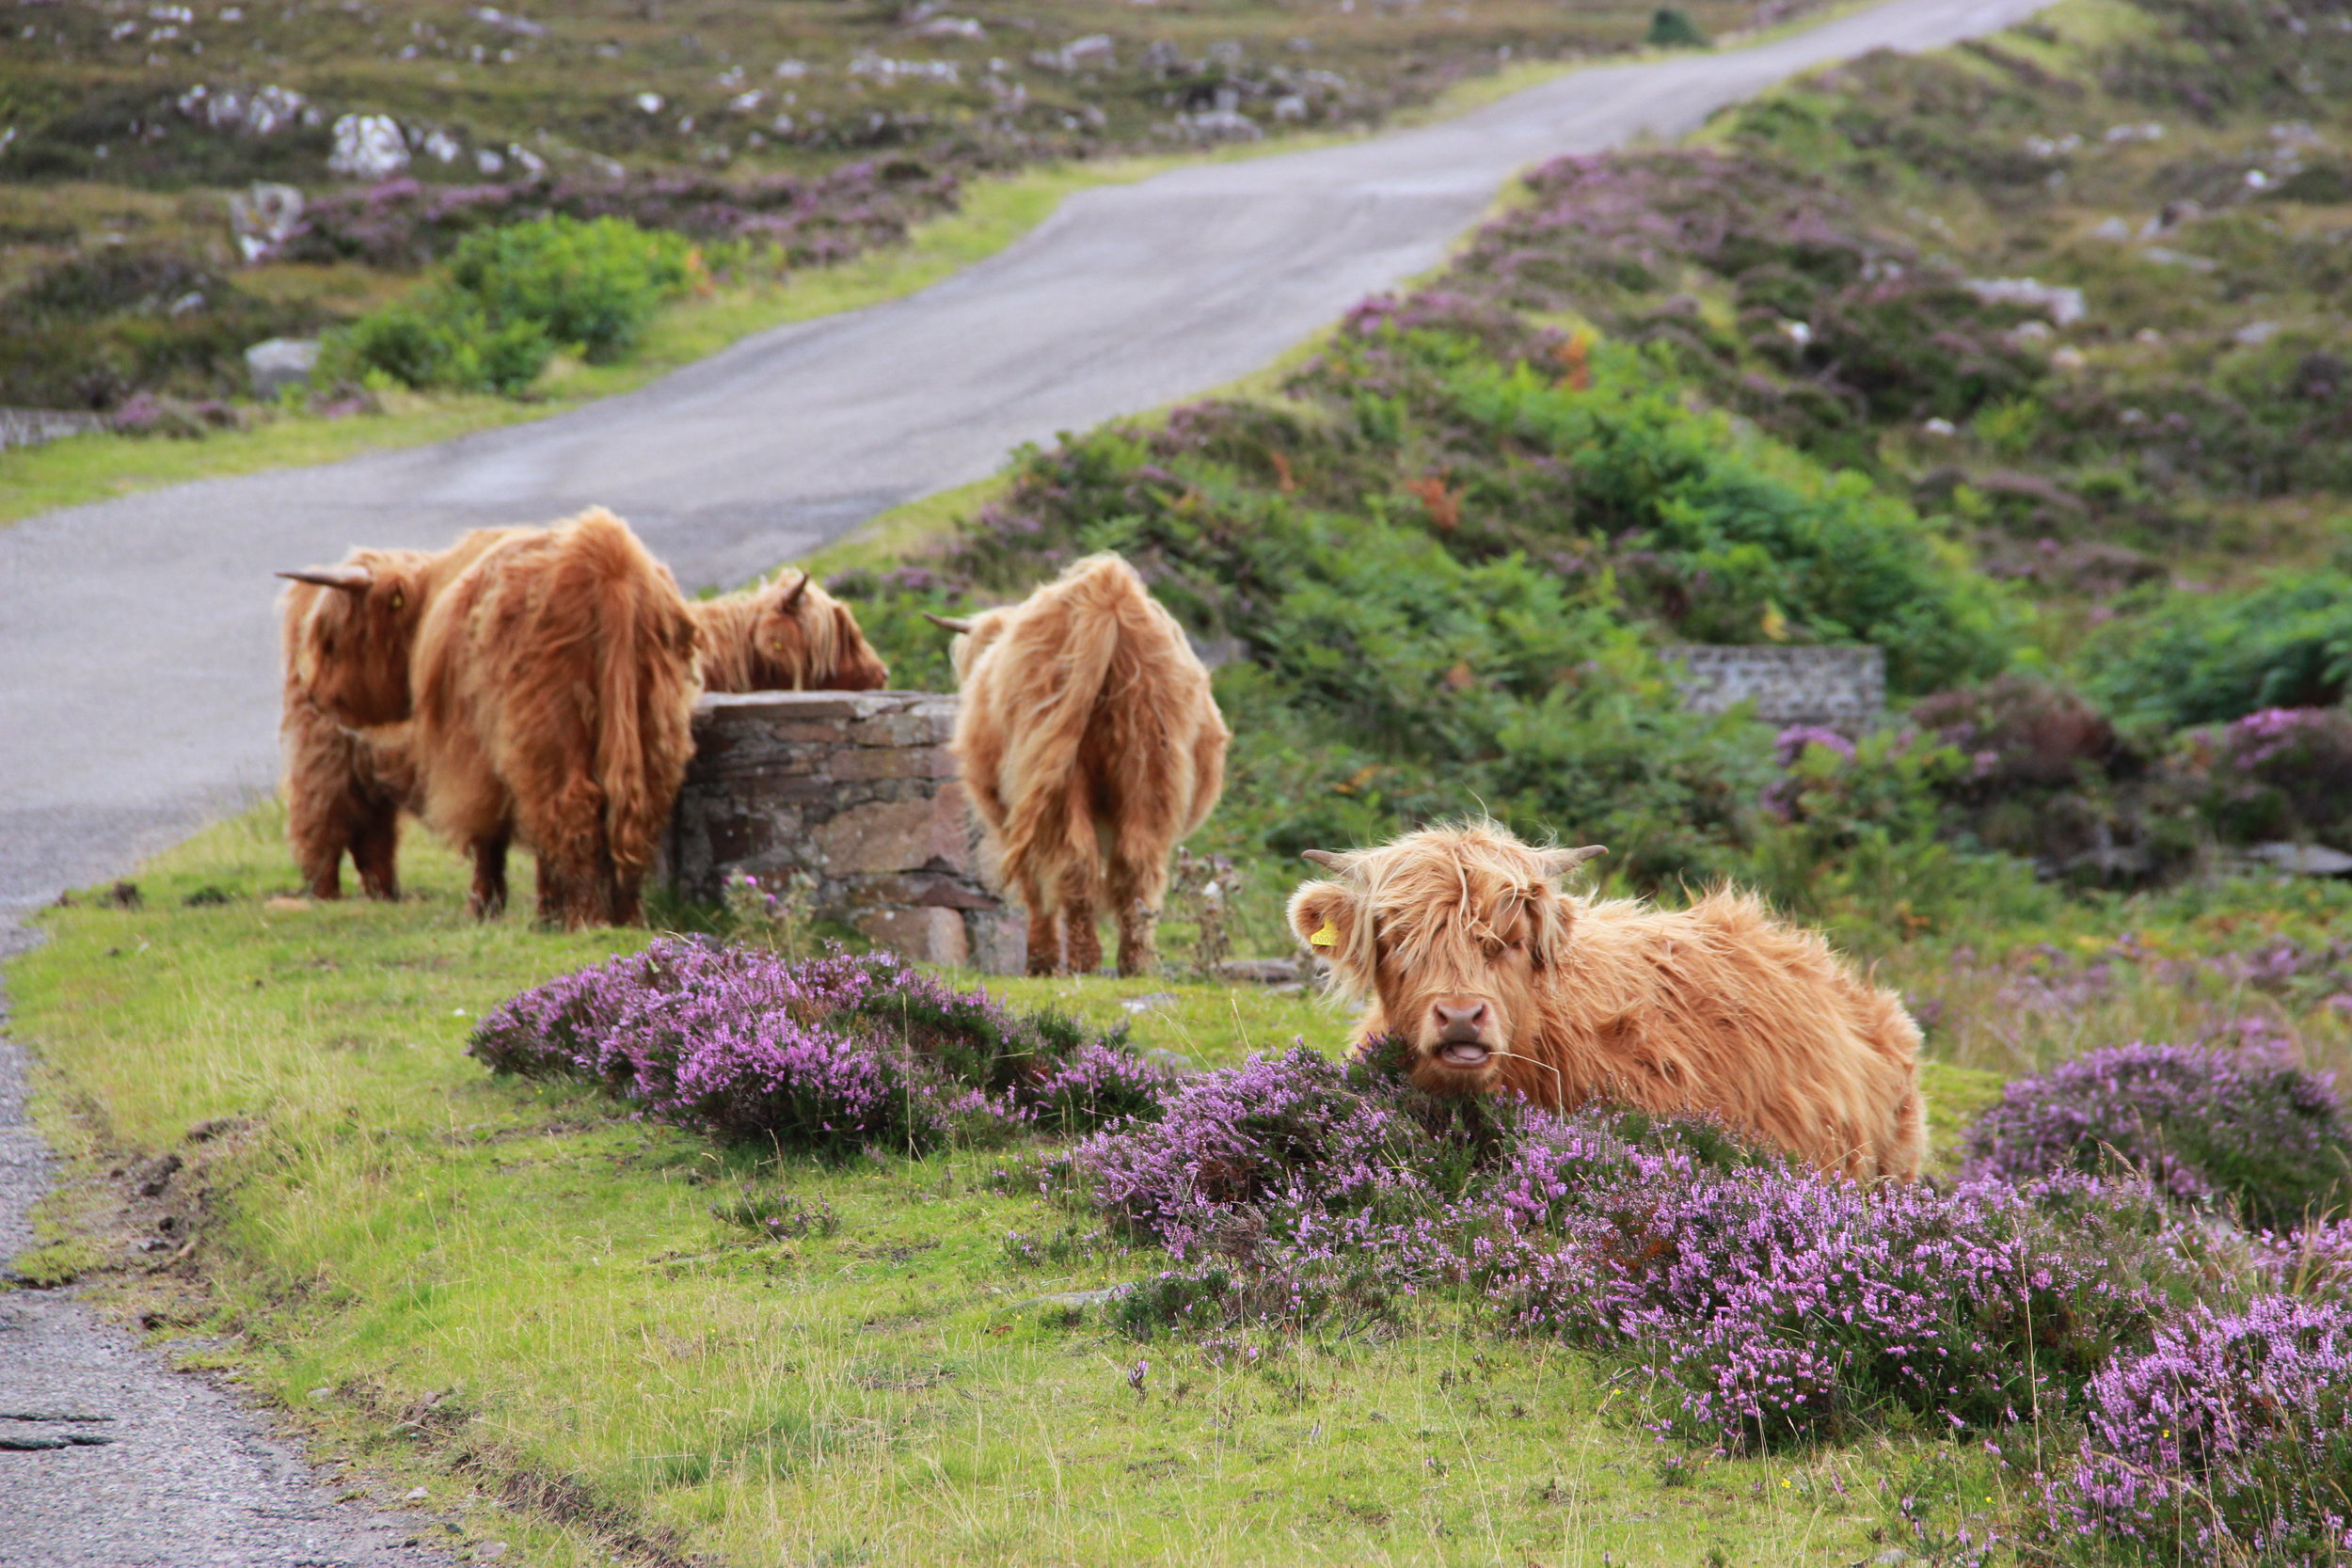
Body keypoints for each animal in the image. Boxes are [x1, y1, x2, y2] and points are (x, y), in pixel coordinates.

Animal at [931, 549, 1242, 968]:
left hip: (1055, 780)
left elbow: (1034, 884)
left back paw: (1077, 959)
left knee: (1072, 861)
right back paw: (1134, 962)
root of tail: (1107, 596)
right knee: (1137, 863)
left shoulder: (1008, 814)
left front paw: (1042, 963)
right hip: (1149, 769)